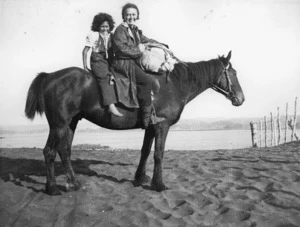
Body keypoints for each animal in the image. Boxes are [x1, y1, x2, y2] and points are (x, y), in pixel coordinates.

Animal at [25, 51, 244, 195]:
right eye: (233, 73)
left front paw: (140, 178)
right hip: (59, 125)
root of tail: (50, 76)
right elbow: (158, 154)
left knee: (64, 151)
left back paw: (74, 184)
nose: (241, 99)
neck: (173, 84)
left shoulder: (151, 127)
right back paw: (52, 188)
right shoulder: (162, 127)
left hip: (70, 123)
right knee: (49, 152)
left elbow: (145, 151)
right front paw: (158, 184)